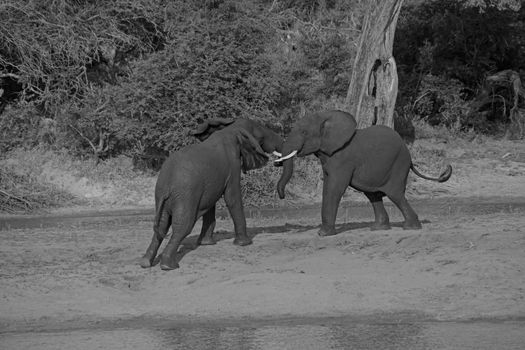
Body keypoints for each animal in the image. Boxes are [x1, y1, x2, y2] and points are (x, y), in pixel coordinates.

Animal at [137, 118, 280, 270]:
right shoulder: (233, 165)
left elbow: (210, 204)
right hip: (185, 195)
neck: (231, 128)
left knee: (162, 225)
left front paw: (206, 244)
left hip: (162, 197)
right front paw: (244, 244)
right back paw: (169, 266)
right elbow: (232, 198)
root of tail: (166, 185)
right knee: (182, 226)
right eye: (261, 137)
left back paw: (145, 263)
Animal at [274, 109, 450, 235]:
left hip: (399, 165)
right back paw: (378, 228)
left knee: (395, 194)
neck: (325, 116)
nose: (282, 196)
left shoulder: (343, 159)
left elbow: (335, 188)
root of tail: (409, 154)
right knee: (373, 195)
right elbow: (328, 187)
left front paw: (324, 234)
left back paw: (410, 227)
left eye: (304, 132)